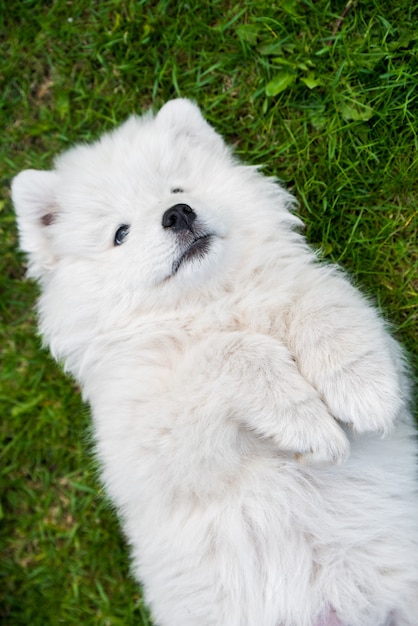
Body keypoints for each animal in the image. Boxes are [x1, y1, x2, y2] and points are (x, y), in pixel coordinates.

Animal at [12, 98, 418, 624]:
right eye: (120, 233)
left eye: (177, 188)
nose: (177, 214)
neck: (211, 303)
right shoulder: (151, 442)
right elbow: (229, 354)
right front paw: (307, 423)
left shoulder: (313, 300)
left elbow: (321, 305)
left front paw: (364, 392)